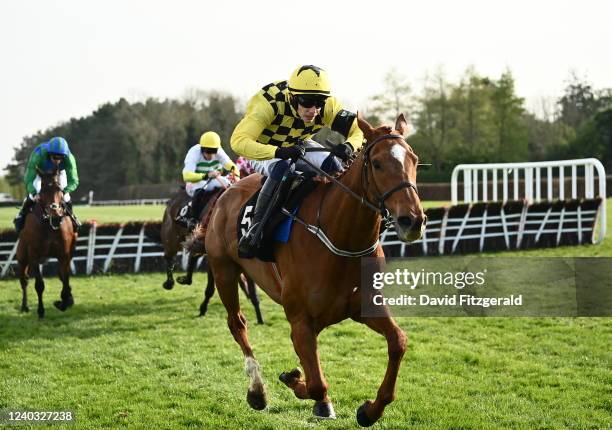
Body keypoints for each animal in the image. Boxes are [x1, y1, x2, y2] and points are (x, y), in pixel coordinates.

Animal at [16, 168, 77, 320]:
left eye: (59, 188)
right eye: (42, 190)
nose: (55, 216)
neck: (49, 224)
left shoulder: (64, 255)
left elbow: (65, 281)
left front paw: (62, 303)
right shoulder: (34, 255)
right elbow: (39, 285)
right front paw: (41, 311)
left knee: (61, 276)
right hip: (22, 256)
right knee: (24, 280)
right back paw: (24, 306)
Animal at [186, 114, 426, 426]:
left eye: (414, 159)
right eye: (377, 163)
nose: (413, 220)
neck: (339, 237)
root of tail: (226, 192)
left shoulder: (362, 306)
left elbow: (398, 342)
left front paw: (369, 410)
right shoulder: (300, 319)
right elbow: (315, 383)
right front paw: (294, 381)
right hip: (224, 269)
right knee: (237, 323)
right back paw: (257, 390)